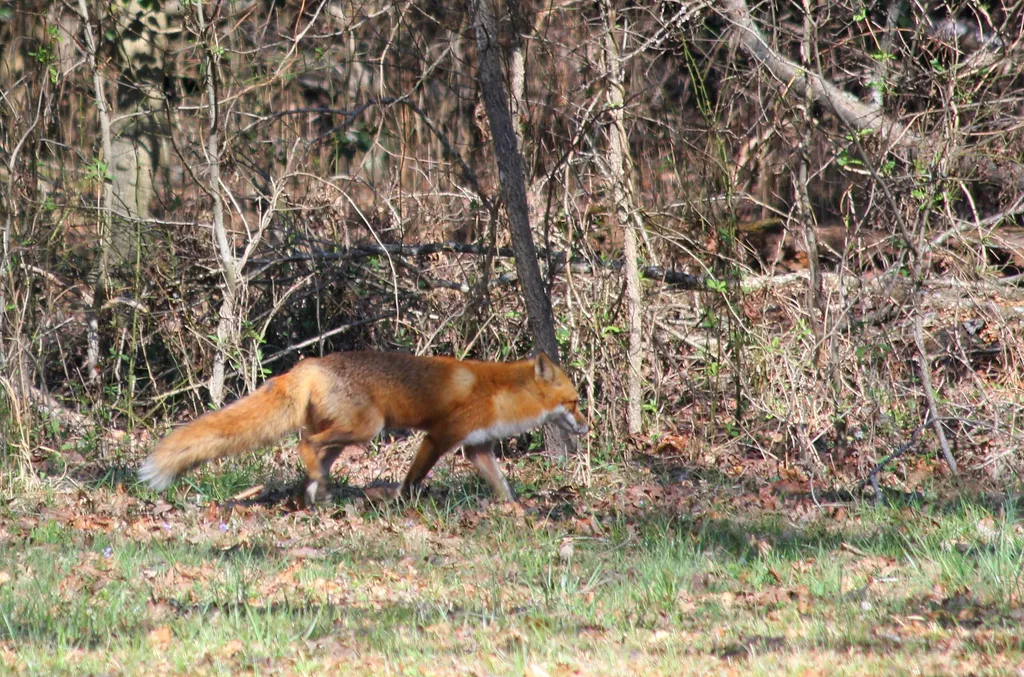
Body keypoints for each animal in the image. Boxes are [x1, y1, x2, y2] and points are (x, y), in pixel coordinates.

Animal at [138, 351, 588, 505]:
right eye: (574, 402)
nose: (586, 428)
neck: (498, 394)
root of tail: (306, 364)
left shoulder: (475, 447)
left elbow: (504, 487)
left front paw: (516, 510)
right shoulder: (439, 437)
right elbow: (412, 479)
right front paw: (400, 503)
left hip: (348, 433)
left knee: (313, 458)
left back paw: (314, 498)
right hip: (367, 427)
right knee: (304, 444)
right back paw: (321, 493)